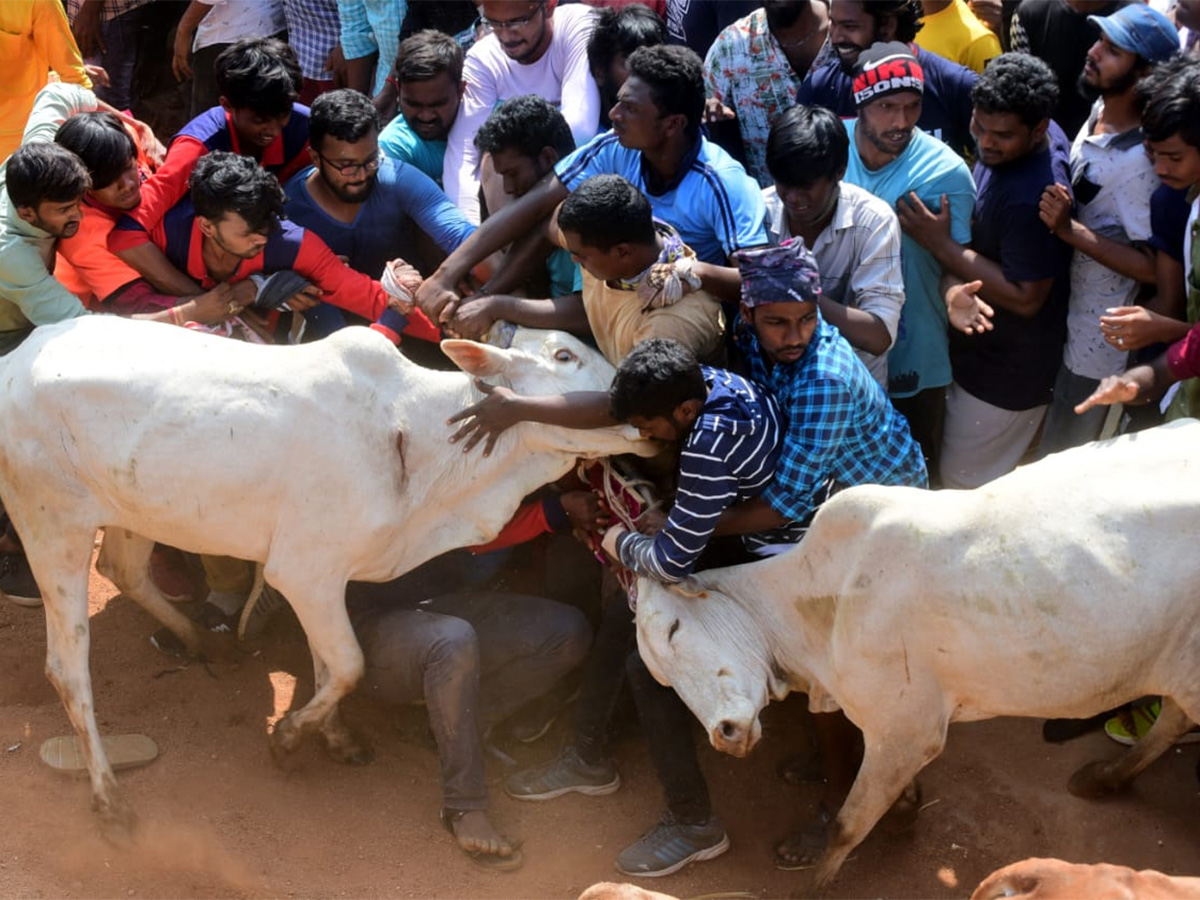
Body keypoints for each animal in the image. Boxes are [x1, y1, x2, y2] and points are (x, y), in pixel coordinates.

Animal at [0, 314, 648, 830]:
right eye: (564, 355)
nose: (646, 401)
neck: (421, 438)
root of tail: (13, 360)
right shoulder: (304, 572)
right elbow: (349, 665)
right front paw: (289, 740)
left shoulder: (325, 578)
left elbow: (326, 664)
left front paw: (333, 739)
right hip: (52, 523)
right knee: (66, 669)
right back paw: (109, 797)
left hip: (134, 509)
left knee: (123, 569)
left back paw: (203, 644)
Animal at [633, 422, 1195, 888]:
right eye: (662, 678)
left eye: (675, 630)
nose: (725, 735)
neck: (820, 602)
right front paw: (906, 809)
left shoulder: (906, 728)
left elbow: (846, 825)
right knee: (1172, 720)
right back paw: (1107, 778)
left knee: (1175, 718)